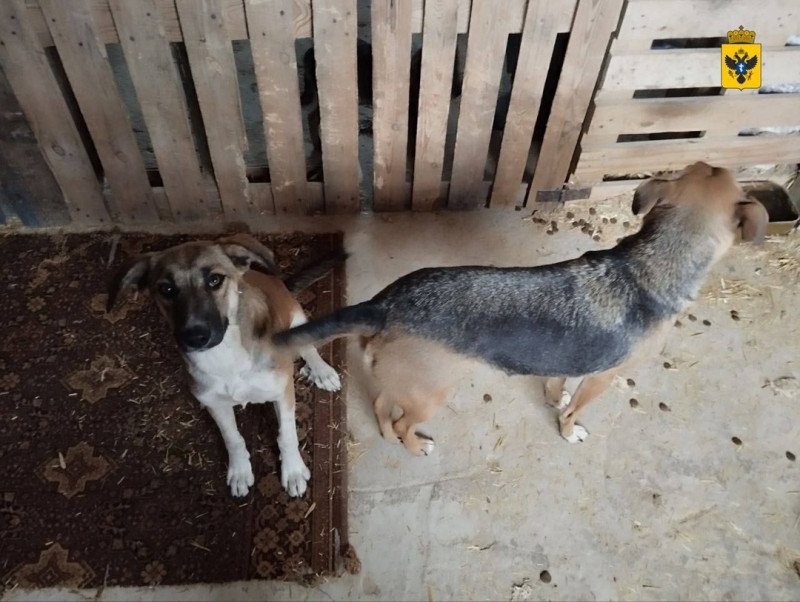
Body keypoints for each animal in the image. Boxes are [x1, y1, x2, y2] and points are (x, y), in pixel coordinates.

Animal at [106, 232, 344, 494]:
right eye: (166, 289)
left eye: (215, 280)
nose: (195, 337)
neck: (225, 356)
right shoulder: (216, 404)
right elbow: (233, 438)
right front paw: (240, 471)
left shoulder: (282, 393)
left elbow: (287, 434)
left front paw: (292, 471)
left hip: (297, 319)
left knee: (308, 346)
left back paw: (321, 371)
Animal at [274, 162, 768, 452]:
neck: (649, 265)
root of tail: (384, 304)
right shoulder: (603, 378)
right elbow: (573, 411)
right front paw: (569, 431)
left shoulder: (567, 359)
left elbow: (555, 383)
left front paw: (555, 396)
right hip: (429, 396)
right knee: (401, 425)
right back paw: (415, 446)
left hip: (406, 385)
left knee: (381, 408)